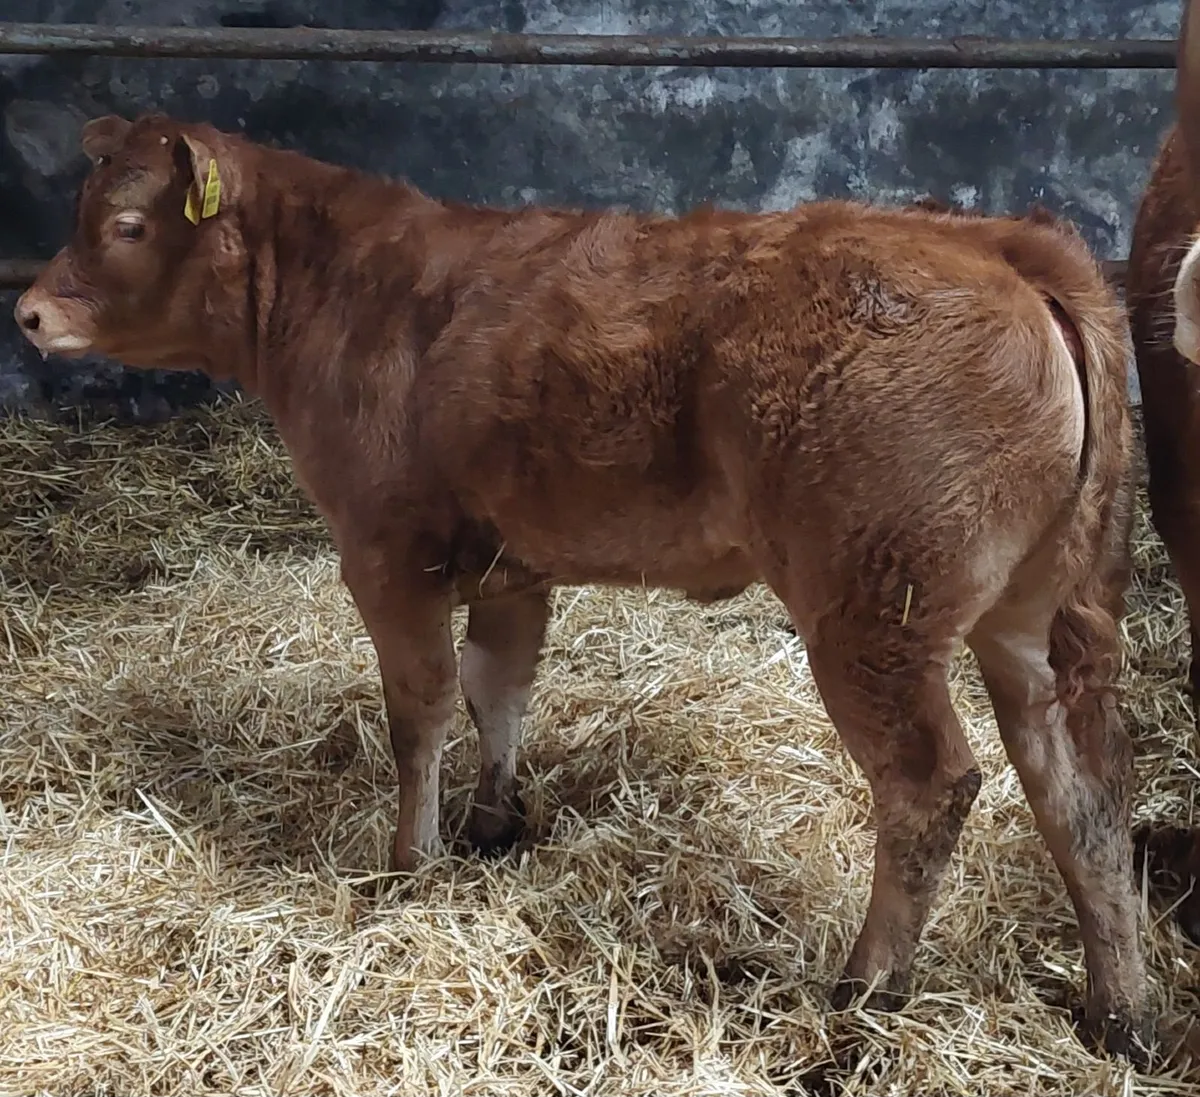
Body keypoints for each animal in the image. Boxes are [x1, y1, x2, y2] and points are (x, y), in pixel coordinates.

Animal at [13, 111, 1149, 1060]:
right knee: (1081, 787)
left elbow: (420, 708)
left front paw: (408, 861)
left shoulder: (387, 548)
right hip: (1038, 612)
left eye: (126, 224)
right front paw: (491, 824)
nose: (26, 312)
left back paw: (863, 992)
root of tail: (1002, 243)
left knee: (930, 782)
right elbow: (499, 686)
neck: (343, 291)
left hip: (873, 607)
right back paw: (1121, 1013)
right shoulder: (509, 559)